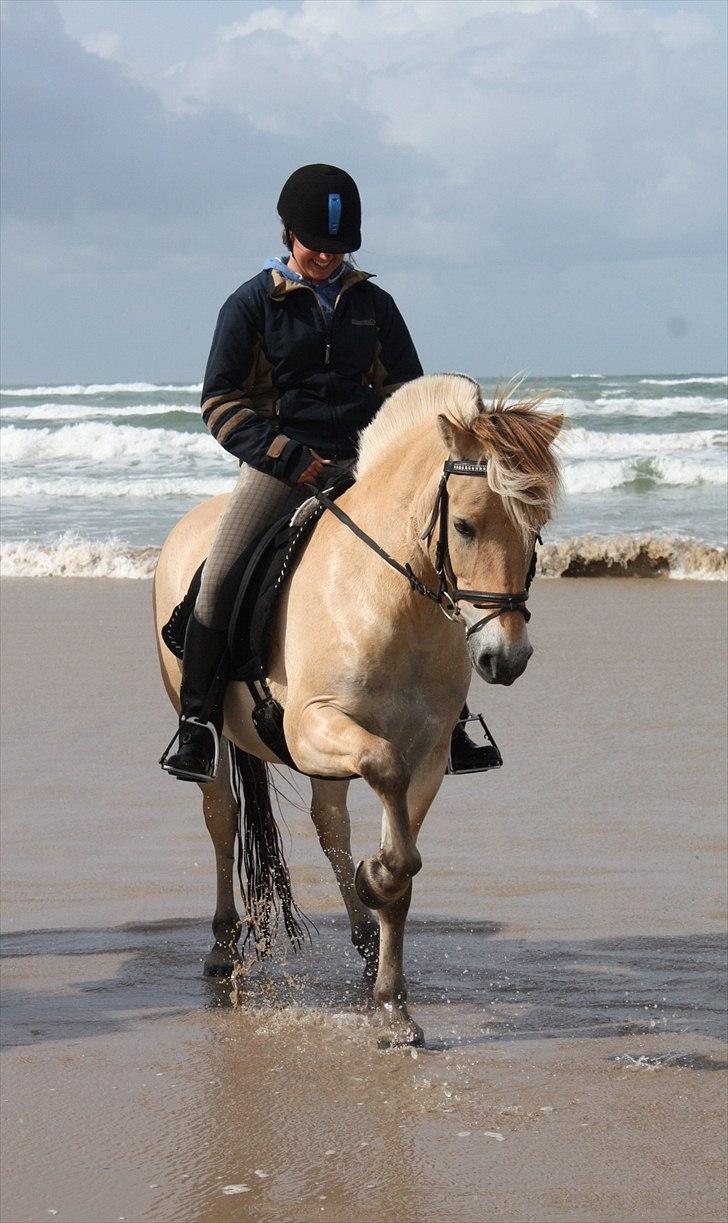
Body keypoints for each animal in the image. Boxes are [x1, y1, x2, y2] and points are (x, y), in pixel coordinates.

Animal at [153, 374, 562, 1051]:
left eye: (537, 528)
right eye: (466, 526)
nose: (507, 657)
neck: (392, 599)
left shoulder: (425, 755)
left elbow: (403, 865)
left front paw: (393, 1005)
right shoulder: (315, 725)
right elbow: (387, 788)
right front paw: (379, 888)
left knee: (330, 823)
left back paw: (366, 941)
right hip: (222, 738)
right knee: (223, 818)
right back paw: (221, 945)